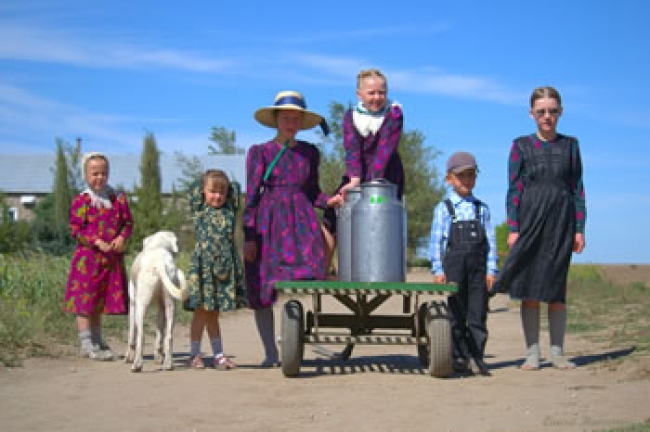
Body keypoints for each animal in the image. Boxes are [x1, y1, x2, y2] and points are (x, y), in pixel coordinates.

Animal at [123, 231, 187, 372]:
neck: (157, 246)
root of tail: (160, 262)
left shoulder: (132, 304)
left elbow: (131, 334)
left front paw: (127, 357)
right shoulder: (161, 308)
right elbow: (159, 334)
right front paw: (158, 357)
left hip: (141, 306)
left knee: (141, 336)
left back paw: (136, 365)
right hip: (171, 307)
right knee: (169, 336)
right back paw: (168, 364)